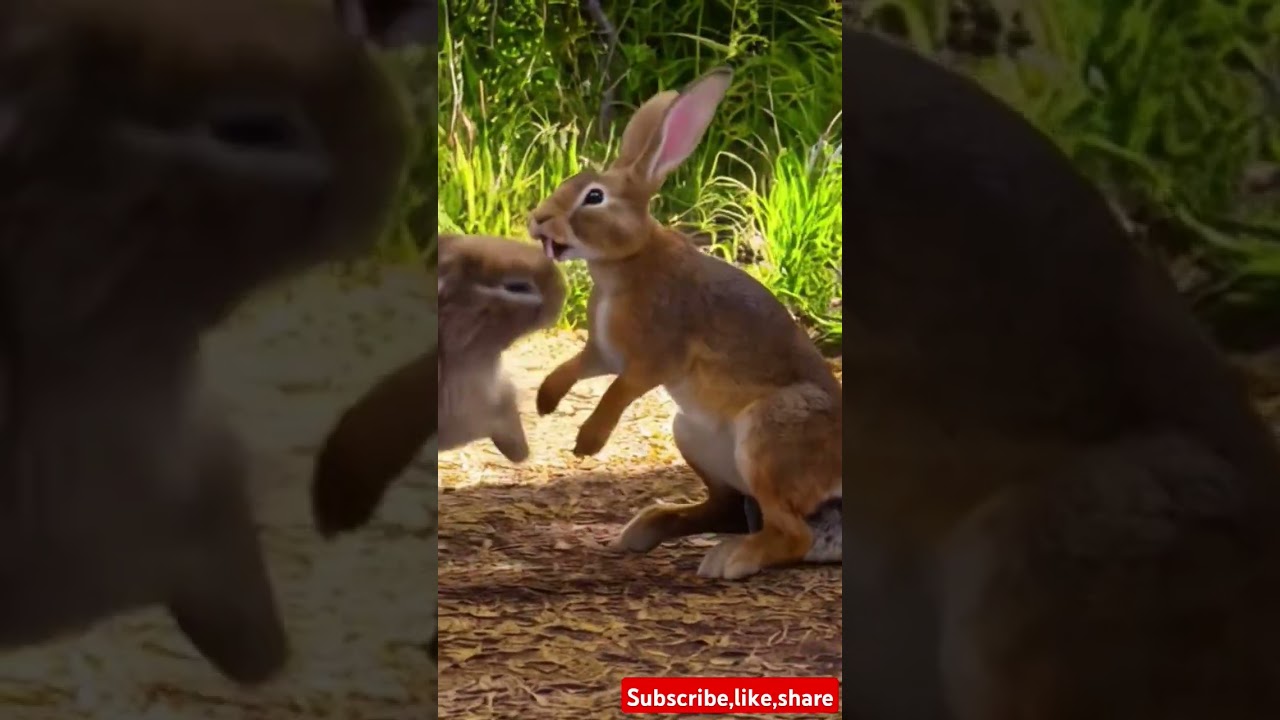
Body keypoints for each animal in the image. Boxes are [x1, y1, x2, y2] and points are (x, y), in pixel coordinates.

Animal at [527, 68, 843, 581]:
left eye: (594, 197)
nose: (537, 219)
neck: (628, 260)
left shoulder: (655, 358)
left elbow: (618, 391)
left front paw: (587, 443)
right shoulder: (604, 351)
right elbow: (577, 368)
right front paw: (544, 402)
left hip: (766, 435)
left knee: (791, 532)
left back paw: (729, 561)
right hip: (691, 433)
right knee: (729, 508)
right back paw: (646, 529)